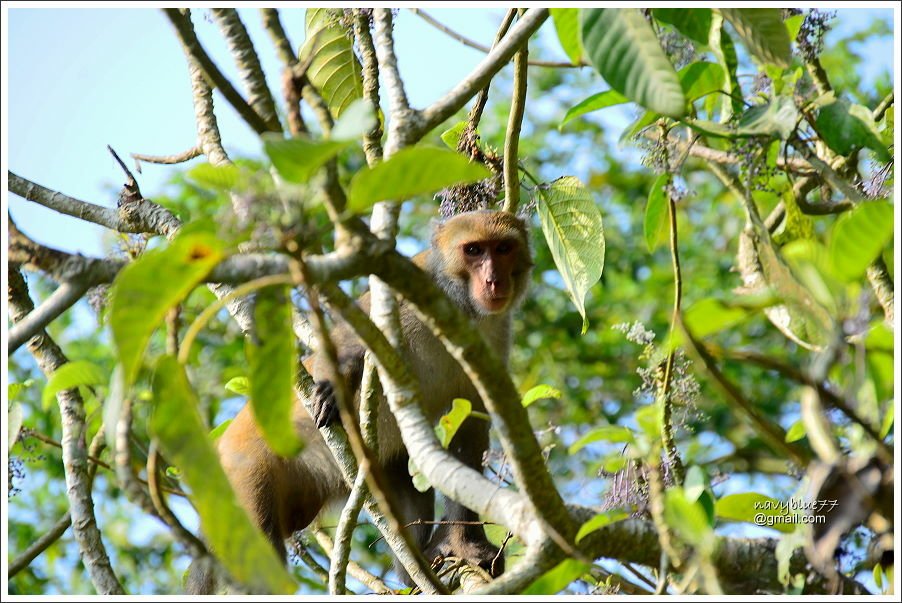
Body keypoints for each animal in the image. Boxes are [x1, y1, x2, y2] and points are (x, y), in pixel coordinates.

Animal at [187, 211, 532, 596]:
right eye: (473, 250)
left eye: (503, 249)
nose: (493, 279)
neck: (460, 310)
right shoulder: (401, 293)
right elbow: (346, 342)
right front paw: (333, 389)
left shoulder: (493, 339)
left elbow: (468, 429)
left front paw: (466, 544)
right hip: (242, 474)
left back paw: (420, 564)